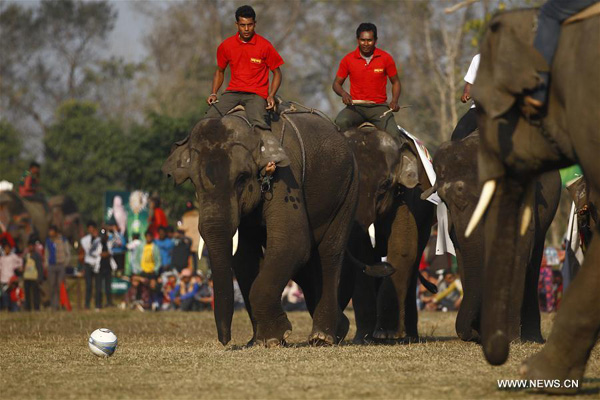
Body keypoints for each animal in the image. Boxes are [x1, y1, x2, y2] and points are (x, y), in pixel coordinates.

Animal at [162, 108, 358, 346]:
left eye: (241, 178)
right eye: (193, 182)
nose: (225, 341)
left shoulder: (285, 177)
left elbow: (292, 242)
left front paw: (275, 337)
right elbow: (244, 258)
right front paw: (259, 341)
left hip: (348, 190)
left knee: (329, 254)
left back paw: (322, 337)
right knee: (306, 267)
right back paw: (340, 328)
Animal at [340, 126, 434, 344]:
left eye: (385, 185)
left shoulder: (406, 198)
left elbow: (402, 249)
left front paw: (386, 333)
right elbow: (363, 252)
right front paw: (364, 338)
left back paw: (409, 336)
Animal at [420, 134, 560, 344]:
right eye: (443, 199)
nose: (474, 333)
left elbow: (518, 246)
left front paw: (509, 338)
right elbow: (463, 253)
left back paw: (531, 337)